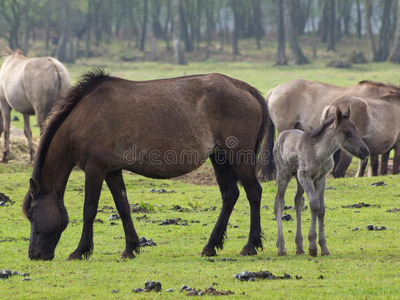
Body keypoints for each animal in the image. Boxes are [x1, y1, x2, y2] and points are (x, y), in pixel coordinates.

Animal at [23, 68, 270, 260]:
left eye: (31, 215)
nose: (33, 255)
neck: (83, 118)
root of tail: (245, 88)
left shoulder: (95, 170)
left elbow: (89, 210)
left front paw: (80, 250)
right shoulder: (112, 171)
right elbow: (123, 207)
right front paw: (130, 248)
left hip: (239, 156)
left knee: (253, 193)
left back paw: (250, 245)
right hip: (220, 158)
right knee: (230, 195)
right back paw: (210, 246)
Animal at [274, 106, 370, 256]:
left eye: (356, 130)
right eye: (347, 132)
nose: (366, 151)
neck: (319, 153)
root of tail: (280, 136)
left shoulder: (321, 178)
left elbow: (321, 209)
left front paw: (323, 247)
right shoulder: (305, 176)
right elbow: (314, 204)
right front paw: (313, 246)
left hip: (297, 178)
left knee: (297, 201)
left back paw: (299, 247)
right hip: (284, 173)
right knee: (279, 201)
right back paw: (281, 247)